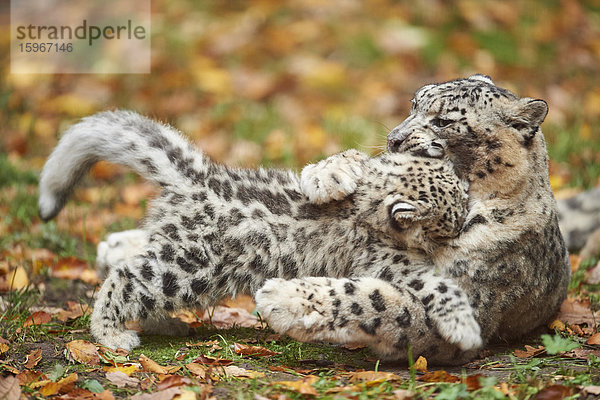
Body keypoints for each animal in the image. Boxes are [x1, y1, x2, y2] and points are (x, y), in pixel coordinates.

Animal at [37, 108, 480, 358]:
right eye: (450, 211)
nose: (465, 218)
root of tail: (199, 177)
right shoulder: (396, 265)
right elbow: (438, 285)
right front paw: (465, 327)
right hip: (187, 267)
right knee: (127, 278)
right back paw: (111, 335)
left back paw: (166, 324)